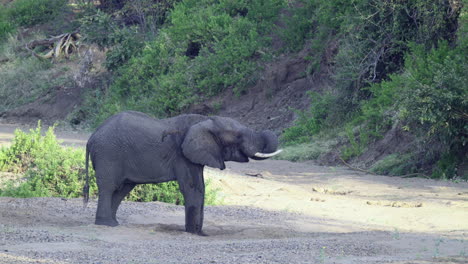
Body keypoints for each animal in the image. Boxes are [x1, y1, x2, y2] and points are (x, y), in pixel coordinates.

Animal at [82, 110, 282, 234]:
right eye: (238, 137)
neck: (205, 120)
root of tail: (91, 137)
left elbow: (200, 187)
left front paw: (198, 232)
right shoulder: (182, 155)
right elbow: (193, 187)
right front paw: (194, 233)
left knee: (122, 189)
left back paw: (114, 223)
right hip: (108, 154)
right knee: (109, 187)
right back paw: (106, 224)